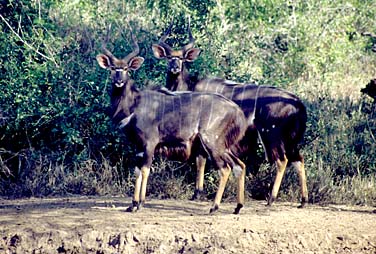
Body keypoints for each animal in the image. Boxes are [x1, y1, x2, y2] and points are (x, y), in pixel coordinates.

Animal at [153, 20, 308, 208]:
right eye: (169, 58)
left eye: (182, 58)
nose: (175, 68)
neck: (190, 87)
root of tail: (298, 104)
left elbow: (200, 159)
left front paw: (197, 193)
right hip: (290, 139)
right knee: (298, 159)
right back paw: (303, 200)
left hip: (271, 134)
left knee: (282, 160)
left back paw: (271, 199)